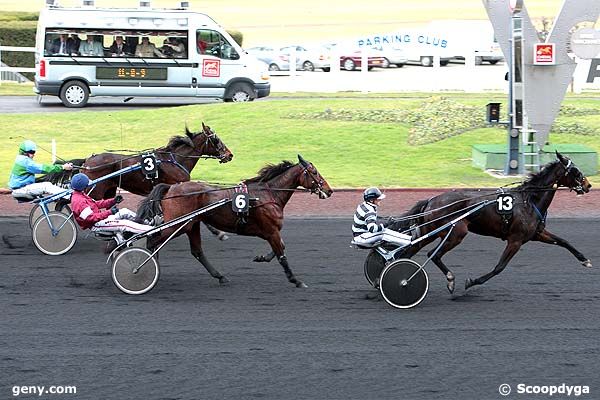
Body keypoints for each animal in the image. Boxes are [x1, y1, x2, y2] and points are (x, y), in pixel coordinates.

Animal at [137, 155, 332, 290]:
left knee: (197, 251)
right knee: (153, 240)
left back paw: (220, 276)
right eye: (314, 172)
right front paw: (296, 280)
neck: (267, 195)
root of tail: (172, 187)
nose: (329, 191)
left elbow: (280, 249)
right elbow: (282, 256)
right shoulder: (271, 231)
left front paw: (261, 257)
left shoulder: (271, 232)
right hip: (175, 225)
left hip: (191, 224)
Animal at [390, 152, 592, 294]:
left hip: (430, 231)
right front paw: (472, 282)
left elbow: (563, 241)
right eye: (575, 171)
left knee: (409, 251)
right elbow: (499, 267)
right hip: (456, 233)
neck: (530, 200)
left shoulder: (536, 233)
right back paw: (448, 280)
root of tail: (432, 200)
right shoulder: (516, 240)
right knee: (433, 254)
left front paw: (585, 260)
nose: (588, 185)